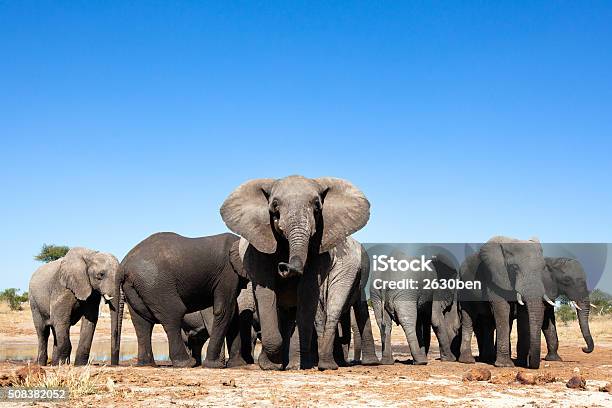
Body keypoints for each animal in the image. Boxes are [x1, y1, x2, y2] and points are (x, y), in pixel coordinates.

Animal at [113, 231, 247, 368]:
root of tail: (123, 265)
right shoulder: (228, 272)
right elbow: (224, 310)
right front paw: (214, 365)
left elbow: (234, 314)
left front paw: (237, 365)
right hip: (156, 283)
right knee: (173, 314)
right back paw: (187, 363)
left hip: (136, 286)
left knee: (142, 322)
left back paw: (147, 364)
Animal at [220, 175, 378, 370]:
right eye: (274, 206)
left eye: (317, 206)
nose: (283, 266)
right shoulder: (259, 246)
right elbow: (266, 292)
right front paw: (271, 365)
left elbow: (307, 292)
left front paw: (294, 365)